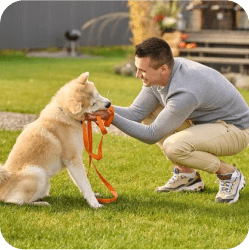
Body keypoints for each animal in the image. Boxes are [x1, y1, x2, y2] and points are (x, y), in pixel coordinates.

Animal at [0, 72, 111, 209]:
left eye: (97, 94)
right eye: (93, 104)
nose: (109, 104)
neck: (66, 114)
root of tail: (3, 185)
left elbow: (82, 183)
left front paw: (93, 196)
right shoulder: (73, 160)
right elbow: (85, 183)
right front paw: (95, 204)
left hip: (44, 180)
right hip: (37, 172)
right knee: (16, 202)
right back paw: (41, 203)